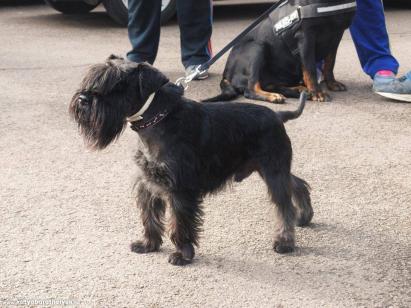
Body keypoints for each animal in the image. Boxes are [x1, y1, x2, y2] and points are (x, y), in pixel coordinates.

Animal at [69, 56, 314, 266]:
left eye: (118, 84)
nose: (83, 99)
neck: (159, 120)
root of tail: (279, 116)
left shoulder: (180, 189)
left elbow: (179, 225)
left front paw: (183, 255)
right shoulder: (149, 184)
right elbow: (149, 218)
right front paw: (148, 244)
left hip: (272, 170)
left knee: (284, 206)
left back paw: (284, 241)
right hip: (270, 169)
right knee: (297, 183)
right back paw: (305, 216)